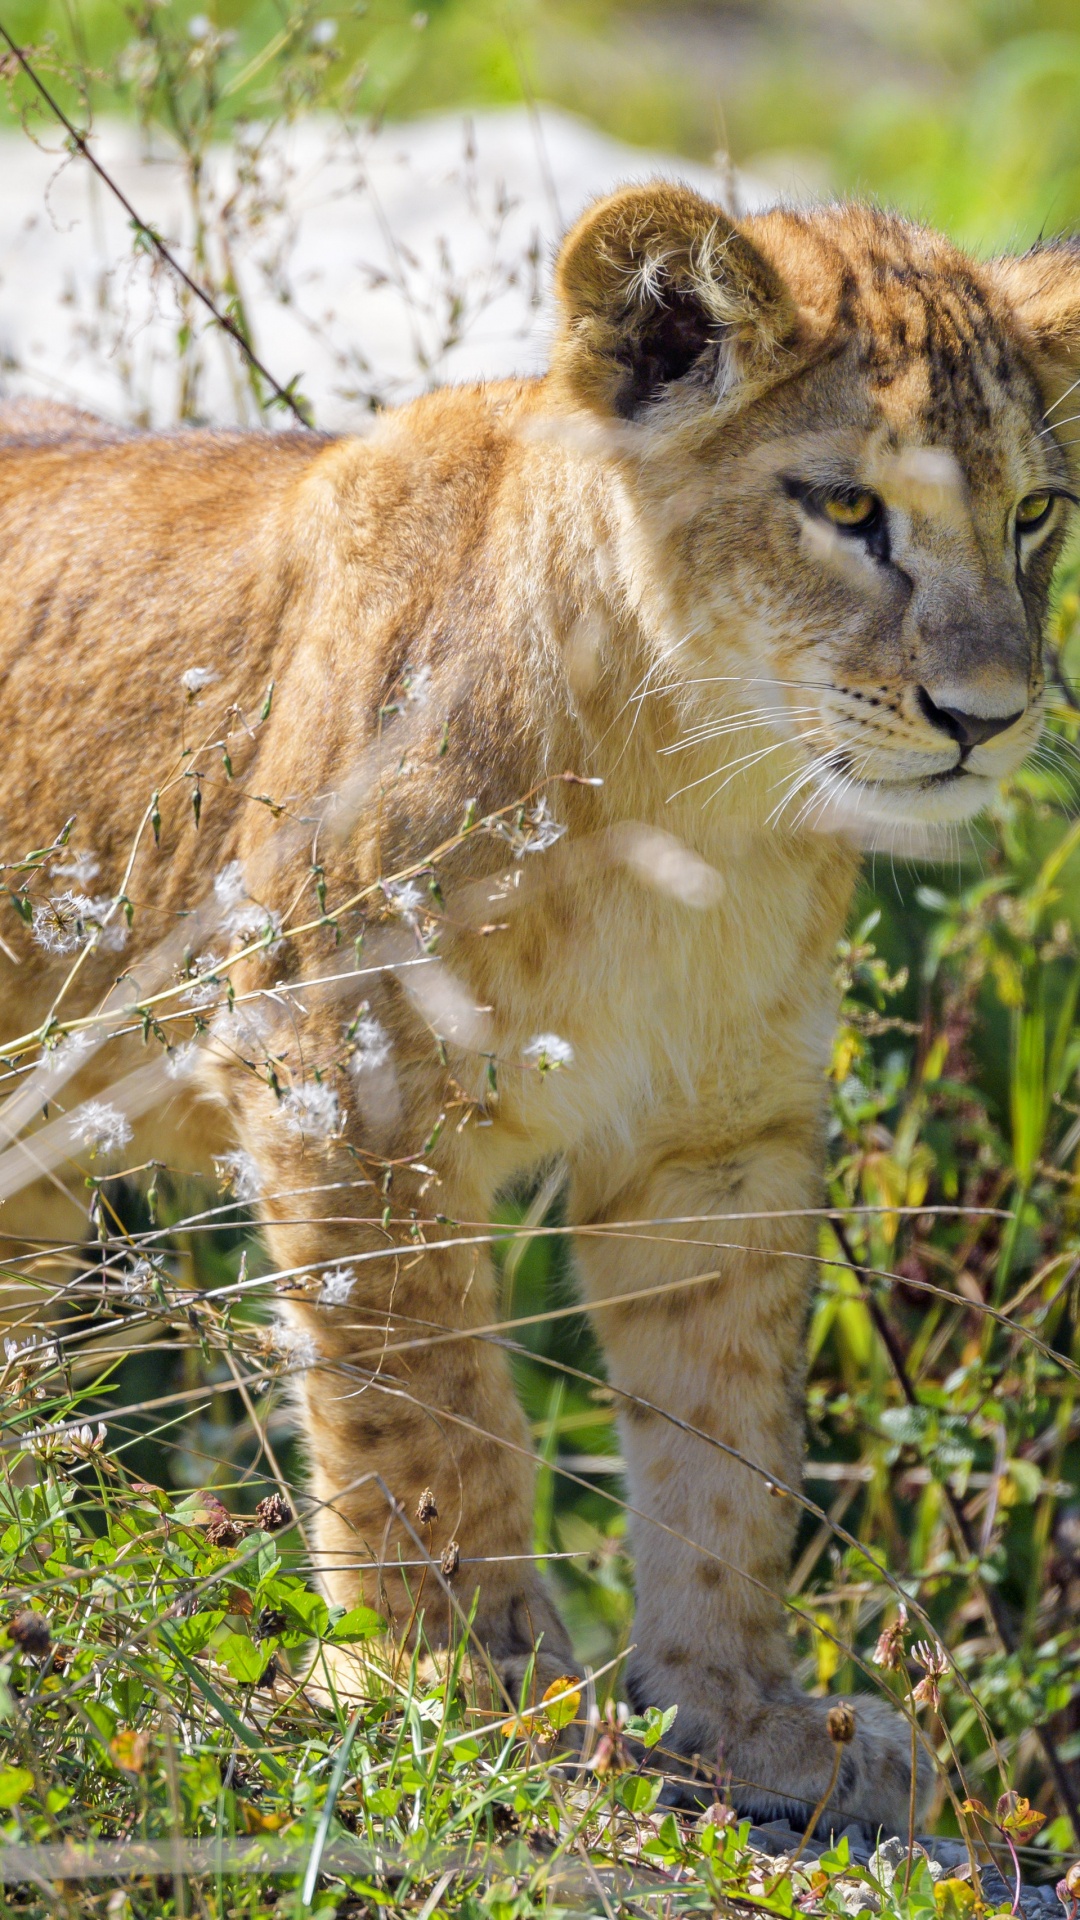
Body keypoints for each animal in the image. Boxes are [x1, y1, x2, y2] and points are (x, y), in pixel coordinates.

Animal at [1, 183, 1077, 1831]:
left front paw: (743, 1717)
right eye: (846, 510)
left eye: (1034, 515)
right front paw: (463, 1684)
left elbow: (728, 1442)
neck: (694, 792)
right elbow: (424, 1408)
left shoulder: (716, 1143)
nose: (990, 718)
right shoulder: (344, 1079)